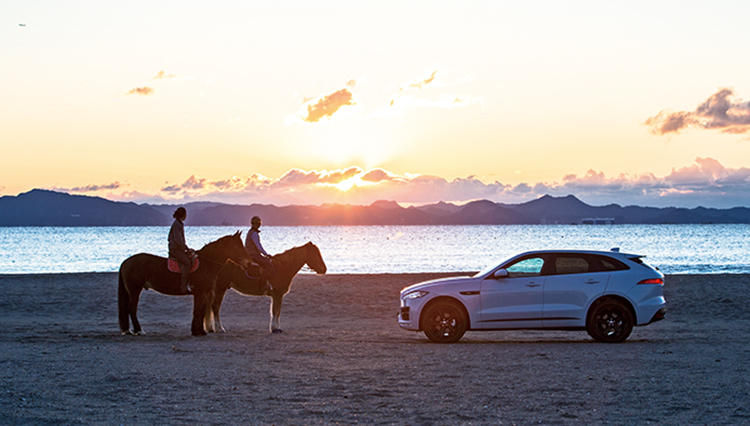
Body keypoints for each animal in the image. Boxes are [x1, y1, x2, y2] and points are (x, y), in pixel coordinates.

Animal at [118, 233, 250, 336]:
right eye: (236, 246)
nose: (248, 263)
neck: (206, 264)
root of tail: (126, 262)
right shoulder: (200, 293)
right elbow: (198, 311)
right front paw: (198, 332)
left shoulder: (204, 293)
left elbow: (200, 311)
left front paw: (198, 331)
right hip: (135, 290)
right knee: (132, 309)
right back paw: (139, 330)